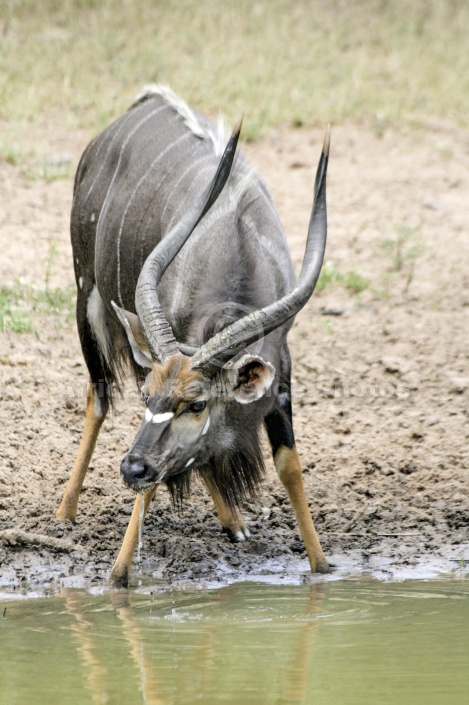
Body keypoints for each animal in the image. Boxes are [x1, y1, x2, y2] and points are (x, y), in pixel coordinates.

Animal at [57, 85, 330, 584]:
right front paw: (117, 578)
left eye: (197, 404)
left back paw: (234, 523)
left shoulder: (281, 371)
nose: (131, 466)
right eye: (148, 398)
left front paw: (322, 569)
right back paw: (64, 511)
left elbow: (289, 465)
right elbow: (148, 491)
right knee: (97, 396)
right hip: (85, 297)